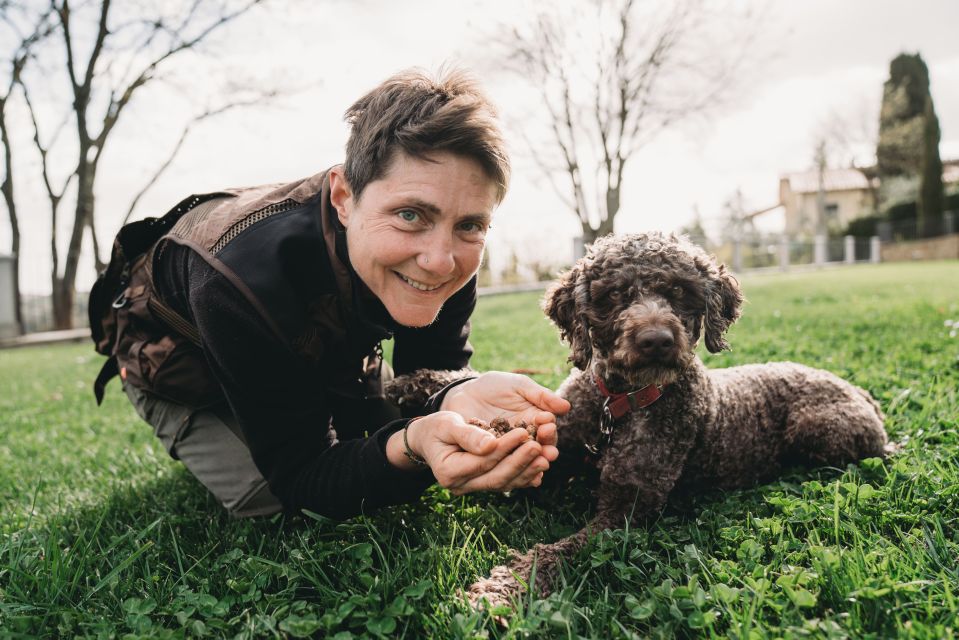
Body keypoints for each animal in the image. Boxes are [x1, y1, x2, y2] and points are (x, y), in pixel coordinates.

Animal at [388, 234, 892, 608]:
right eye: (614, 295)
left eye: (679, 292)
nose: (656, 340)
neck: (620, 405)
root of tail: (859, 391)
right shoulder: (558, 445)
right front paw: (418, 382)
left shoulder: (624, 514)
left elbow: (555, 551)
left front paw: (501, 590)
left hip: (820, 431)